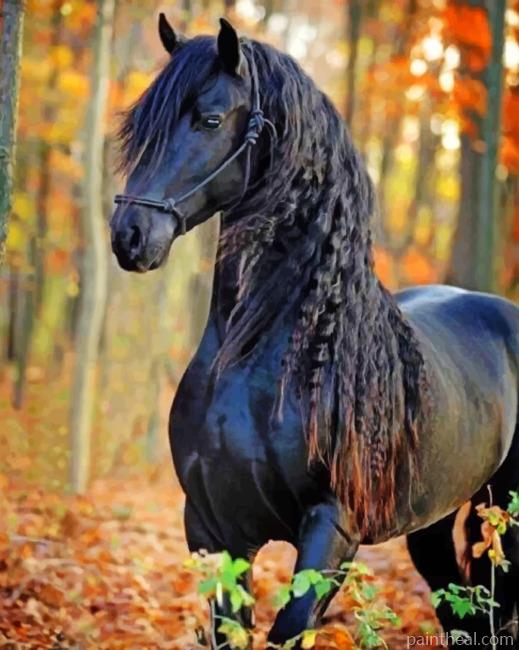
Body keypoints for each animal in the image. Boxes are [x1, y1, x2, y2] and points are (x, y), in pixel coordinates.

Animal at [110, 15, 519, 649]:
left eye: (210, 119)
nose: (129, 234)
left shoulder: (332, 529)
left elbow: (290, 627)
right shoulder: (211, 528)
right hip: (432, 524)